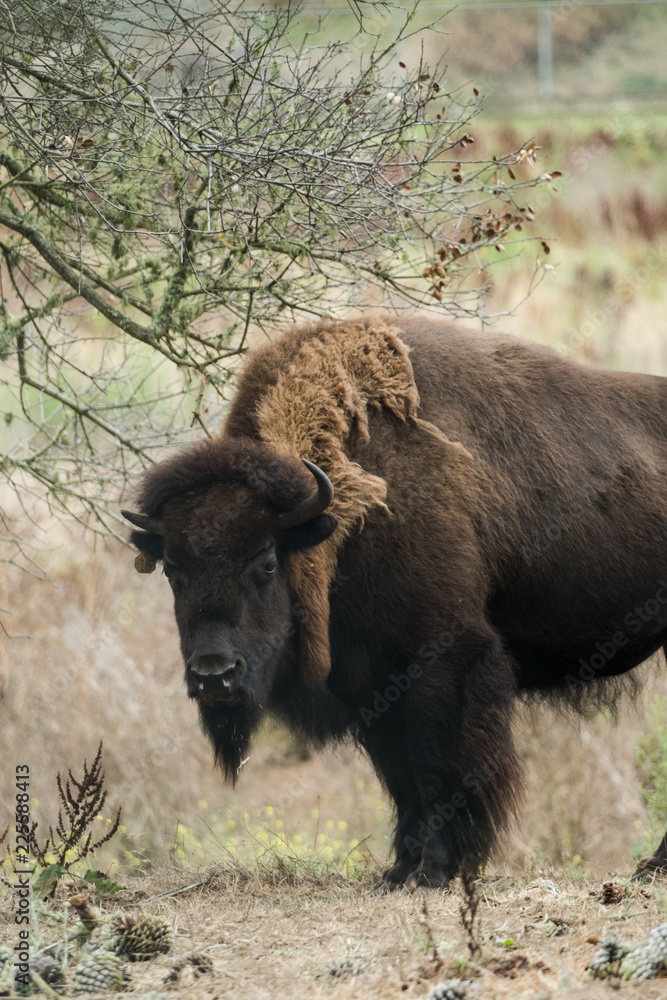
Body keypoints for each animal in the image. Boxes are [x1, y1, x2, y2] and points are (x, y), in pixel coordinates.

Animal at [122, 317, 667, 889]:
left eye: (267, 561)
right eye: (173, 570)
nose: (214, 674)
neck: (340, 521)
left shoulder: (443, 660)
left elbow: (433, 768)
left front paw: (436, 870)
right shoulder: (371, 685)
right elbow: (402, 778)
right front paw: (400, 870)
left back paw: (650, 867)